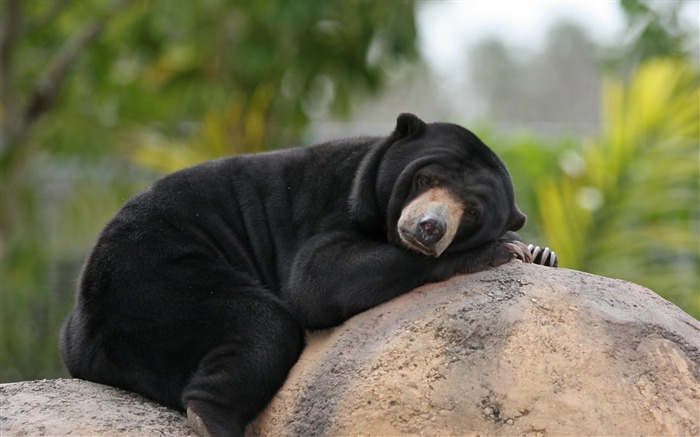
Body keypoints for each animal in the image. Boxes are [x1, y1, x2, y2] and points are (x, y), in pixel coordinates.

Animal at [60, 113, 556, 436]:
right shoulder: (333, 206)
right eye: (425, 179)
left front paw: (541, 252)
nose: (429, 228)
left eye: (471, 211)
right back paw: (211, 419)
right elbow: (316, 280)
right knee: (263, 327)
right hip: (157, 279)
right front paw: (503, 249)